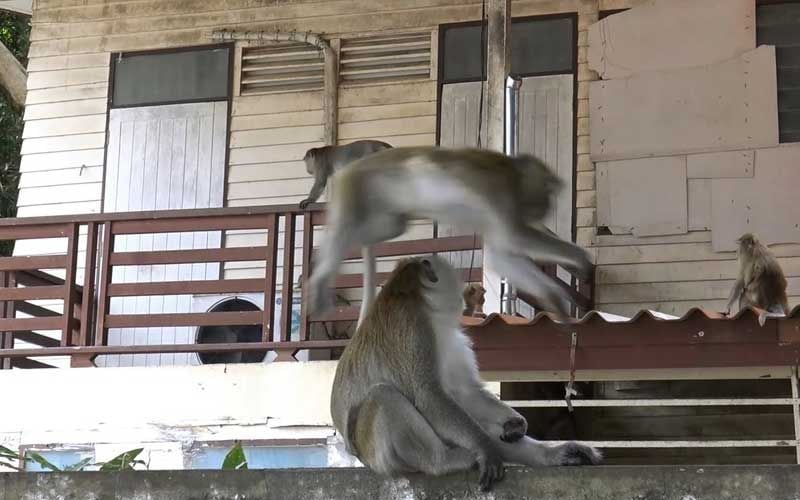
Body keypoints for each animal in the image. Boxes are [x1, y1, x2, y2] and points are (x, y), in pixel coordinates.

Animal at [306, 146, 592, 322]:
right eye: (548, 188)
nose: (548, 206)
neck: (515, 177)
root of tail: (353, 167)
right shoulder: (499, 192)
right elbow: (515, 238)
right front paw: (580, 258)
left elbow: (502, 257)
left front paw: (554, 298)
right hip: (353, 185)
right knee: (343, 230)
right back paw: (319, 278)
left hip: (382, 204)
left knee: (390, 227)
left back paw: (364, 243)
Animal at [330, 258, 600, 492]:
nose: (464, 289)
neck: (427, 308)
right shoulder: (413, 327)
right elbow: (430, 395)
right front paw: (486, 448)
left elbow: (465, 394)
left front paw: (516, 422)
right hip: (378, 453)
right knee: (383, 396)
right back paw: (443, 460)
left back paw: (551, 454)